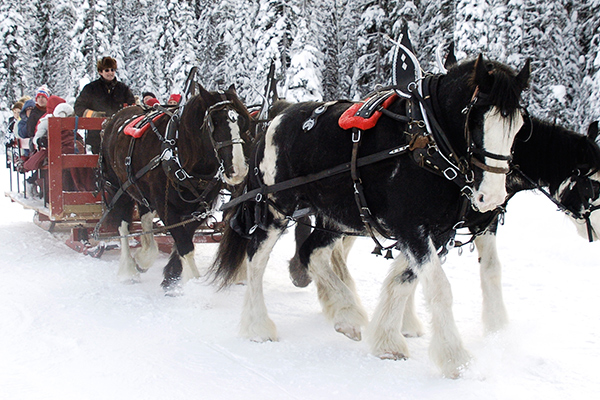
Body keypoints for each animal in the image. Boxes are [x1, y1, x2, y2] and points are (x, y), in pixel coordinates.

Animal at [101, 83, 251, 290]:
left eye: (242, 122)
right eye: (214, 122)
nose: (238, 170)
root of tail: (115, 116)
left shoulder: (198, 209)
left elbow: (184, 239)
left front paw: (171, 274)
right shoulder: (166, 208)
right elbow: (184, 244)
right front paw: (193, 282)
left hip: (141, 191)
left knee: (145, 218)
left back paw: (144, 256)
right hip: (119, 189)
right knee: (122, 226)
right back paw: (129, 270)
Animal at [211, 54, 528, 376]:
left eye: (519, 126)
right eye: (475, 119)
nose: (492, 198)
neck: (425, 140)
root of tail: (275, 119)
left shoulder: (439, 231)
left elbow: (404, 280)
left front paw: (387, 340)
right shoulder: (412, 227)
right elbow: (438, 287)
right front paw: (455, 358)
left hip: (334, 215)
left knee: (312, 253)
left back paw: (347, 314)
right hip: (276, 208)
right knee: (256, 259)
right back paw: (258, 326)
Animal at [286, 118, 600, 338]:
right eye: (593, 184)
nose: (596, 228)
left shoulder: (477, 225)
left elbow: (489, 270)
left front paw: (496, 327)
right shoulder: (426, 229)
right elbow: (413, 275)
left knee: (323, 252)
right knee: (318, 251)